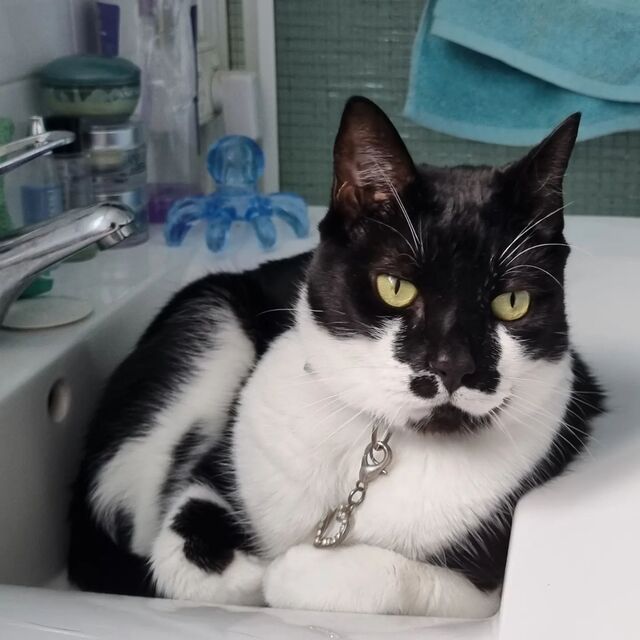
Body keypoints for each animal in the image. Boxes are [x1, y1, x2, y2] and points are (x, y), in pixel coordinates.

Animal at [68, 96, 604, 617]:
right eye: (395, 288)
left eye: (512, 302)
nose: (453, 365)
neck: (372, 445)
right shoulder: (217, 472)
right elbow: (188, 558)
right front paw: (252, 571)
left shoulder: (482, 583)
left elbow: (385, 578)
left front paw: (287, 571)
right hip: (209, 327)